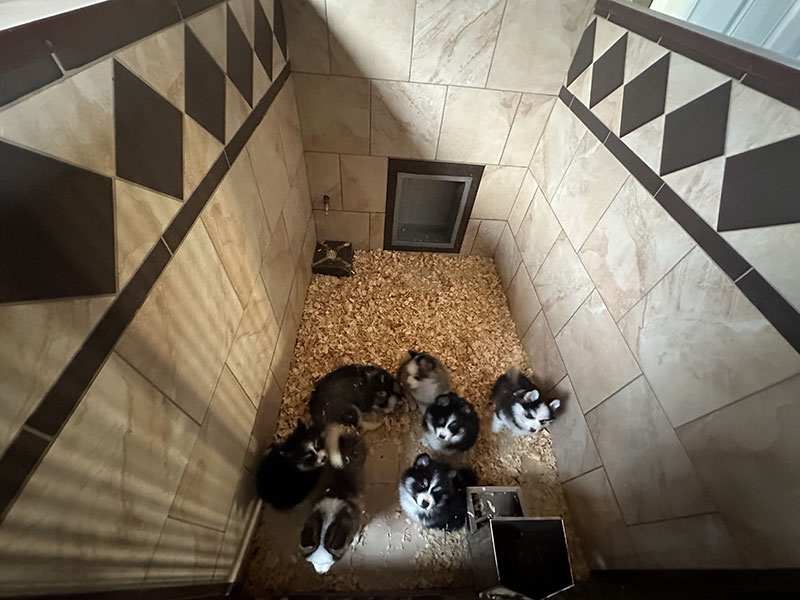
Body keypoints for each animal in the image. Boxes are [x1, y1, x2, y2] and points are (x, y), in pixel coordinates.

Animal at [300, 429, 366, 574]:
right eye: (312, 563)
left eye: (329, 563)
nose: (320, 573)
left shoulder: (357, 517)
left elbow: (356, 532)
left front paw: (354, 542)